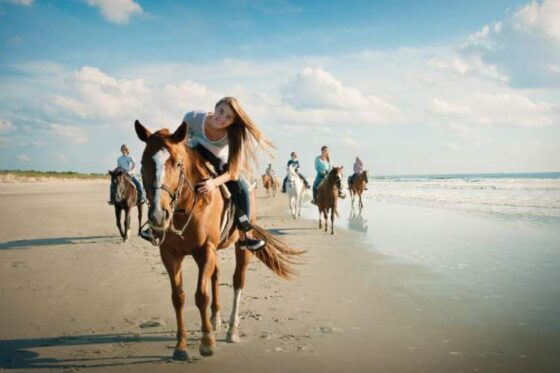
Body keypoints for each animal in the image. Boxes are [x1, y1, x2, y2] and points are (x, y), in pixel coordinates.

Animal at [136, 120, 302, 360]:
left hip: (241, 248)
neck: (186, 205)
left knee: (237, 281)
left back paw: (232, 329)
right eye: (142, 163)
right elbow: (178, 297)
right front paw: (181, 346)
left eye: (178, 164)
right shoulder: (170, 254)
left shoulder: (206, 250)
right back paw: (215, 319)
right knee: (215, 276)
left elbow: (201, 295)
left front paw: (207, 342)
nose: (158, 215)